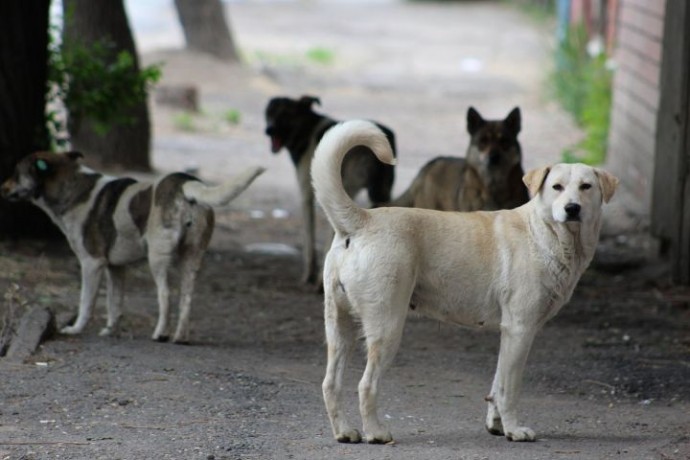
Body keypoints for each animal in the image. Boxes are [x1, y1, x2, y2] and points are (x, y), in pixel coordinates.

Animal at [0, 153, 264, 344]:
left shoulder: (91, 264)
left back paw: (161, 334)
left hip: (157, 258)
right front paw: (110, 331)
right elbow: (115, 303)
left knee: (165, 295)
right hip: (192, 260)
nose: (2, 188)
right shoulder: (116, 268)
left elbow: (86, 302)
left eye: (15, 173)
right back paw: (181, 337)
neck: (73, 187)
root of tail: (186, 183)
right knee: (187, 298)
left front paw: (75, 329)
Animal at [262, 94, 396, 284]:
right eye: (269, 113)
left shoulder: (306, 195)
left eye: (286, 114)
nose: (268, 130)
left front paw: (308, 276)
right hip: (382, 193)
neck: (307, 127)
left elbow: (309, 241)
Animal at [312, 120, 620, 444]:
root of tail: (361, 220)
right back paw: (376, 433)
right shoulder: (520, 329)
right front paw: (515, 430)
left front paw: (497, 426)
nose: (572, 208)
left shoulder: (510, 334)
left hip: (339, 327)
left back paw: (345, 432)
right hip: (387, 327)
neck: (544, 233)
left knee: (330, 384)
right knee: (366, 384)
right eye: (556, 187)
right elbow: (510, 389)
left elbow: (497, 385)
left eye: (586, 187)